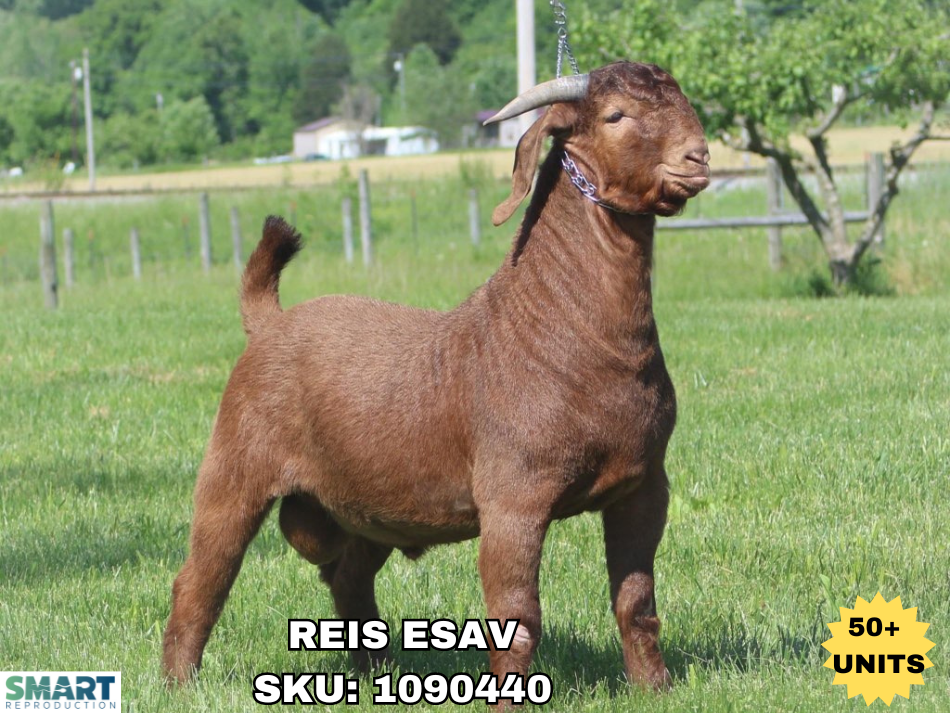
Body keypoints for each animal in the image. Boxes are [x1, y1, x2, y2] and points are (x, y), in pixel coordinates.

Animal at [162, 61, 710, 699]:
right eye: (615, 115)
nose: (698, 156)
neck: (557, 321)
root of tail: (268, 321)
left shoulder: (644, 485)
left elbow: (636, 602)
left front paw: (656, 688)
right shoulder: (513, 496)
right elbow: (516, 616)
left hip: (366, 508)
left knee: (349, 578)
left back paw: (375, 673)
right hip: (235, 466)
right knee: (204, 575)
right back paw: (177, 682)